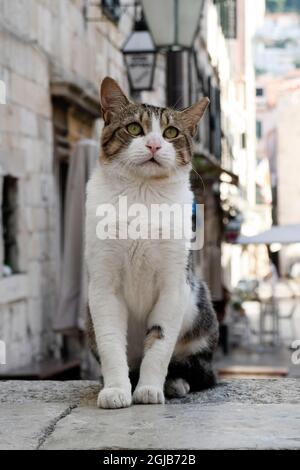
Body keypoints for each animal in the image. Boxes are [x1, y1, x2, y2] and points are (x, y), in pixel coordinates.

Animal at [85, 77, 219, 408]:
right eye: (134, 128)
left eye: (171, 133)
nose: (154, 145)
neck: (141, 194)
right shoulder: (102, 286)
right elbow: (110, 343)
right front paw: (116, 389)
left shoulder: (173, 284)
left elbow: (159, 343)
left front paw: (149, 388)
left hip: (200, 308)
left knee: (198, 369)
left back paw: (176, 382)